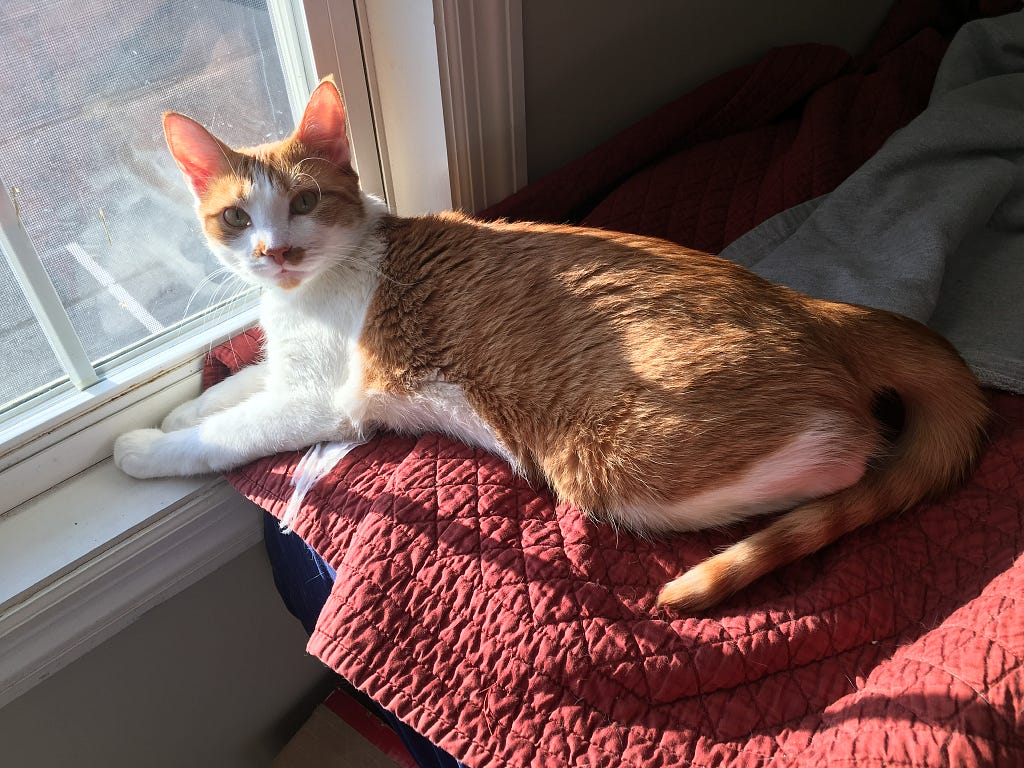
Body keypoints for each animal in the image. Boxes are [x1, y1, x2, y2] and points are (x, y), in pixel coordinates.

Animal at [114, 75, 991, 610]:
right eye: (237, 217)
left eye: (303, 202)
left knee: (849, 453)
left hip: (613, 464)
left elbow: (226, 432)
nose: (275, 252)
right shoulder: (288, 368)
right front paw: (173, 414)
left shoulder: (321, 400)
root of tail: (814, 308)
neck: (308, 294)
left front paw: (142, 448)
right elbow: (233, 388)